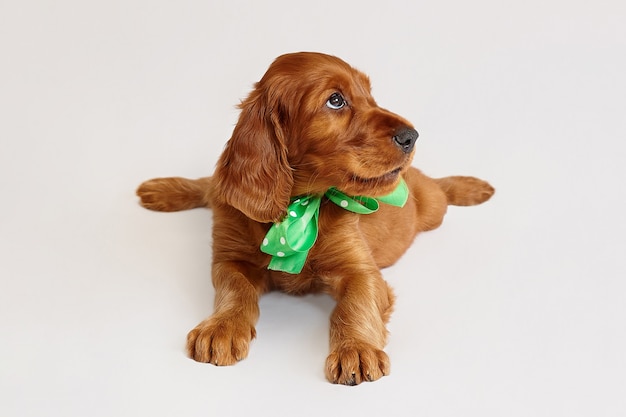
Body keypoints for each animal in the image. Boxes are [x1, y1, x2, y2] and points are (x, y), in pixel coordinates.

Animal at [135, 52, 492, 386]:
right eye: (335, 100)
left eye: (369, 94)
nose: (412, 136)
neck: (299, 206)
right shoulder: (229, 258)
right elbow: (235, 288)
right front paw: (221, 327)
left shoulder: (361, 271)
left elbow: (354, 304)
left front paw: (356, 350)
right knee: (210, 185)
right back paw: (162, 190)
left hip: (432, 207)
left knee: (442, 190)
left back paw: (469, 186)